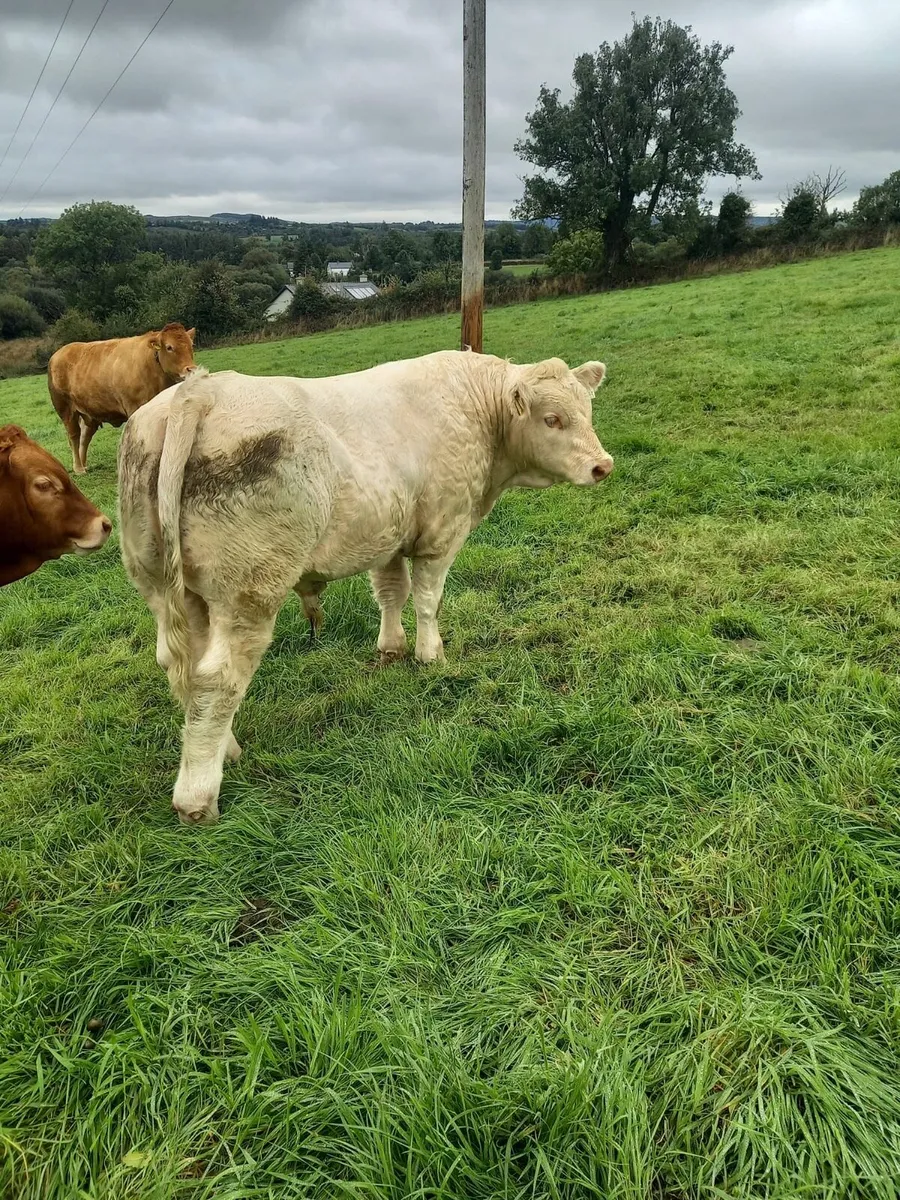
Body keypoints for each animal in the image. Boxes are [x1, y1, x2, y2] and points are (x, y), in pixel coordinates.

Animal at [48, 322, 197, 475]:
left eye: (191, 345)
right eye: (169, 347)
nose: (191, 369)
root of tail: (59, 353)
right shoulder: (134, 407)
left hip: (90, 412)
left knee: (85, 436)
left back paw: (84, 465)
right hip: (66, 409)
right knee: (74, 436)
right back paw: (78, 468)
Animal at [117, 349, 613, 826]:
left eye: (587, 411)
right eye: (553, 419)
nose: (602, 466)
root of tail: (200, 391)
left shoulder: (388, 535)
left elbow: (392, 592)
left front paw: (391, 648)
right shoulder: (442, 532)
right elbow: (429, 598)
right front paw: (431, 655)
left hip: (172, 591)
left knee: (187, 669)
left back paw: (228, 749)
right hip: (248, 591)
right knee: (219, 678)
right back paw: (197, 798)